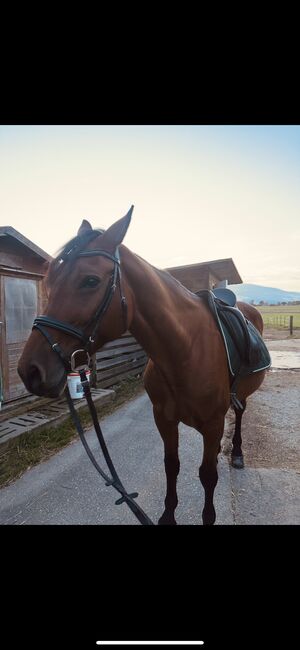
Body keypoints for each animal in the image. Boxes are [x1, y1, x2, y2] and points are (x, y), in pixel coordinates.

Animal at [18, 206, 268, 520]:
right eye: (49, 281)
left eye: (90, 280)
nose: (30, 371)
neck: (184, 352)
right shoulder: (163, 419)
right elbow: (171, 466)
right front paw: (167, 516)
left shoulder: (213, 426)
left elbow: (208, 475)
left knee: (241, 414)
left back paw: (236, 453)